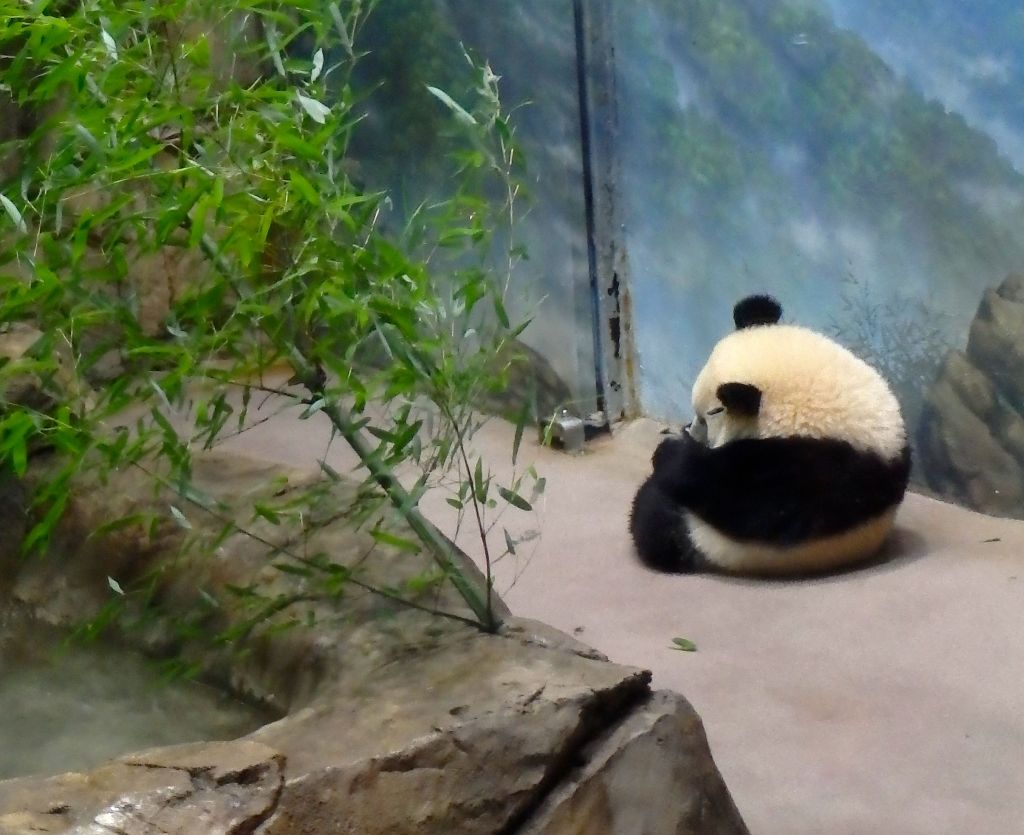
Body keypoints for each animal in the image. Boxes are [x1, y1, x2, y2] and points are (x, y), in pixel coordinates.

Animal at [629, 294, 911, 576]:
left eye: (708, 418)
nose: (691, 432)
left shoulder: (820, 470)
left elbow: (743, 497)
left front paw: (671, 453)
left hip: (704, 538)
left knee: (656, 521)